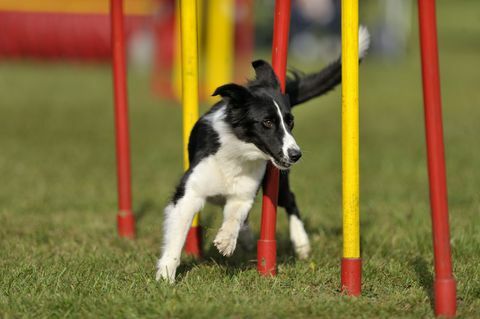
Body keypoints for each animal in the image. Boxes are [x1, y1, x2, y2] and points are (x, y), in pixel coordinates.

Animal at [158, 26, 372, 282]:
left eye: (290, 122)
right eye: (267, 122)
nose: (296, 154)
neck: (239, 155)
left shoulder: (245, 191)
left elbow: (236, 214)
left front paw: (226, 240)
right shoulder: (190, 191)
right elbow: (177, 234)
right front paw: (166, 275)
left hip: (280, 184)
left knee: (290, 200)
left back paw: (301, 243)